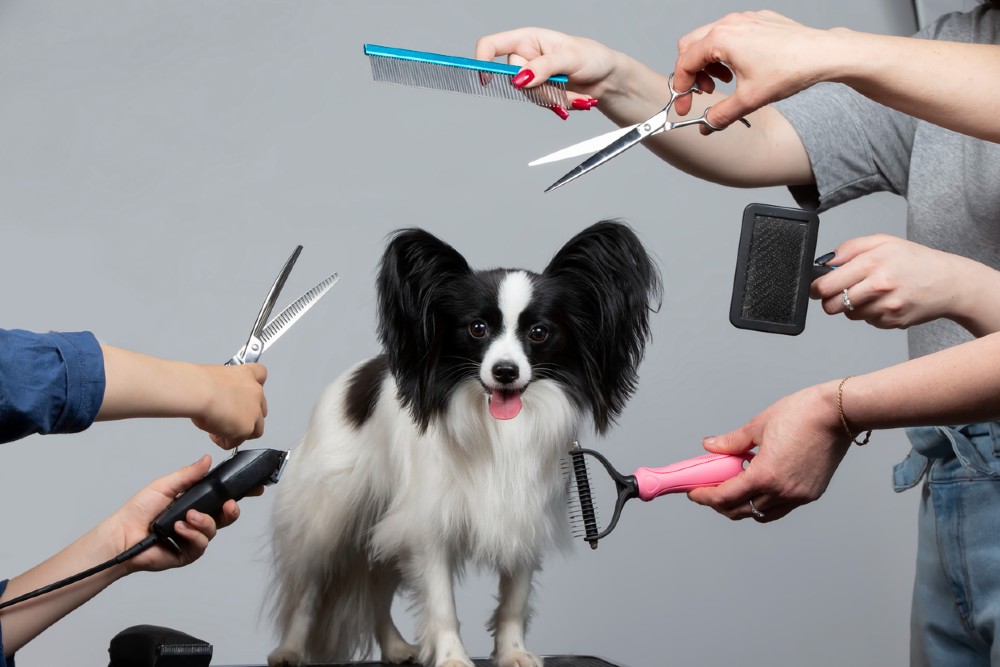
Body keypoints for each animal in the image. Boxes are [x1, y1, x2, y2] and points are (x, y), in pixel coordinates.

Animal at [266, 223, 660, 667]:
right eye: (477, 329)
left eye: (539, 333)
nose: (505, 371)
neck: (499, 430)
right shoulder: (427, 527)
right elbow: (441, 603)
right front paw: (452, 657)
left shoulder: (521, 516)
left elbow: (514, 599)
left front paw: (513, 653)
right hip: (326, 525)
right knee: (308, 592)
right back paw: (290, 650)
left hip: (384, 528)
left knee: (376, 591)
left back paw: (396, 648)